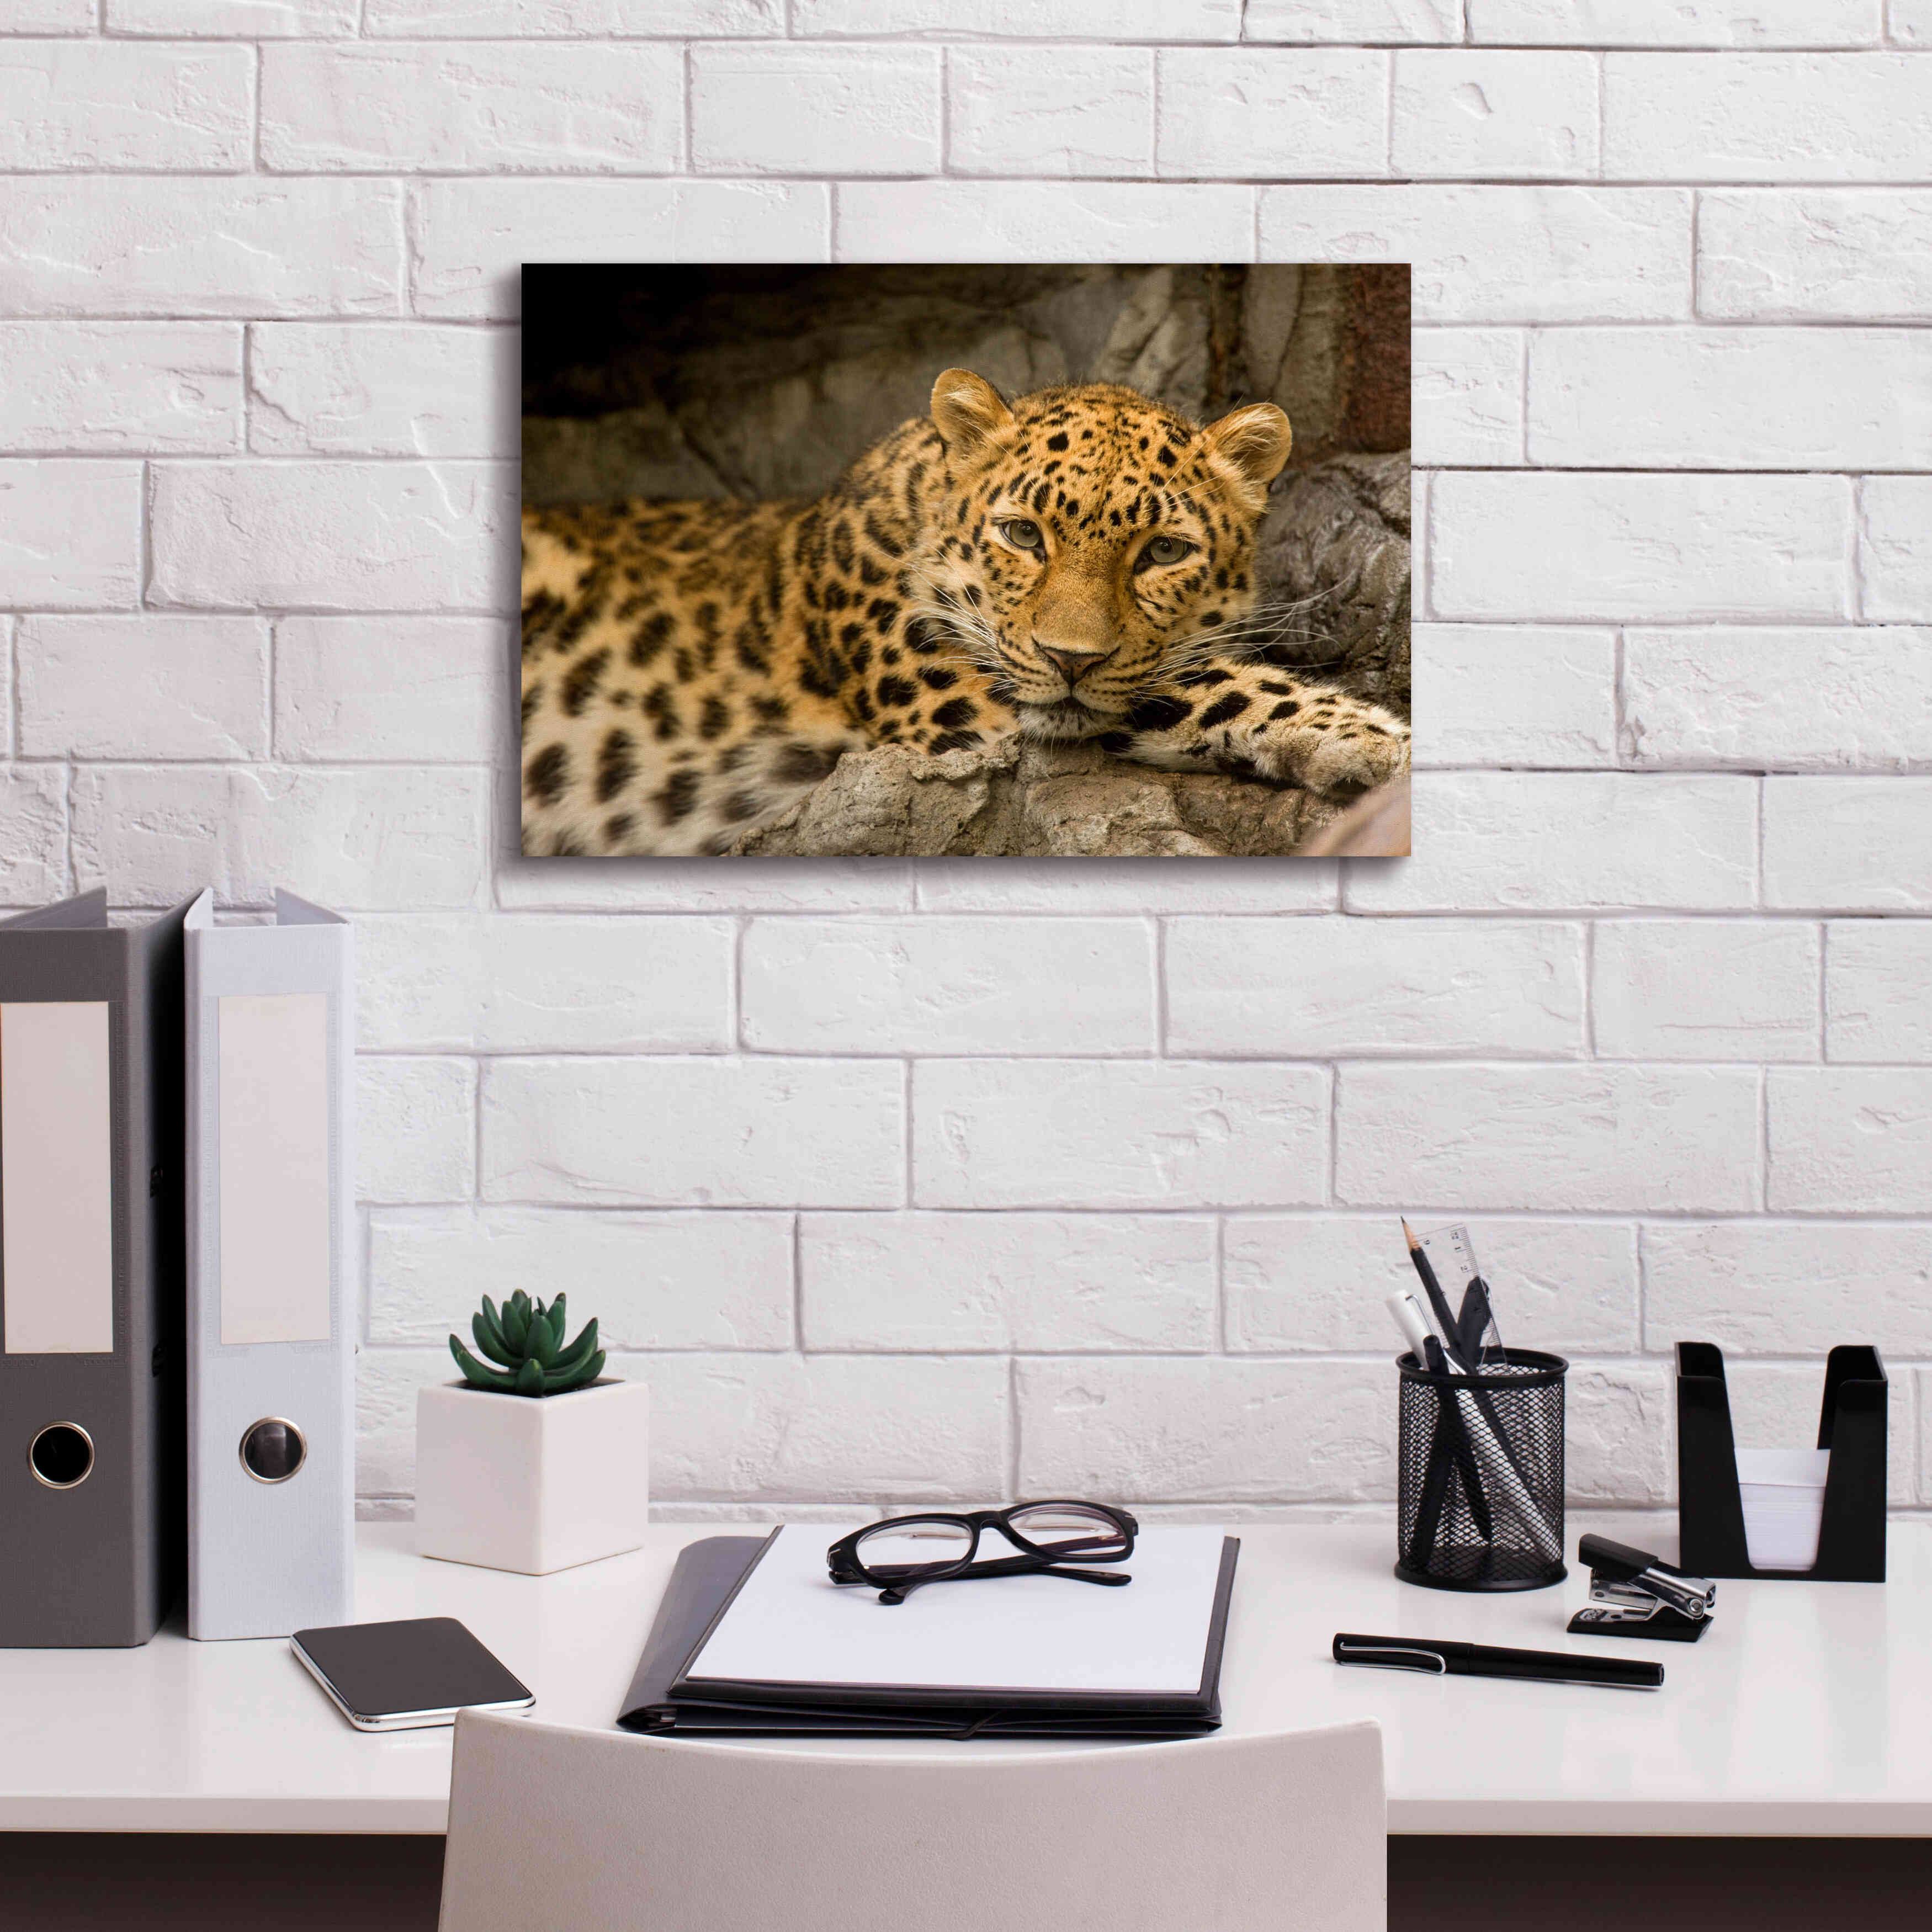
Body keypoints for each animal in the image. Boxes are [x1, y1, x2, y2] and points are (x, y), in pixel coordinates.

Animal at [520, 368, 1410, 857]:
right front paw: (1379, 740)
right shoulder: (967, 702)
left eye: (1162, 552)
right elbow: (1214, 683)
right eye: (1022, 535)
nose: (1071, 658)